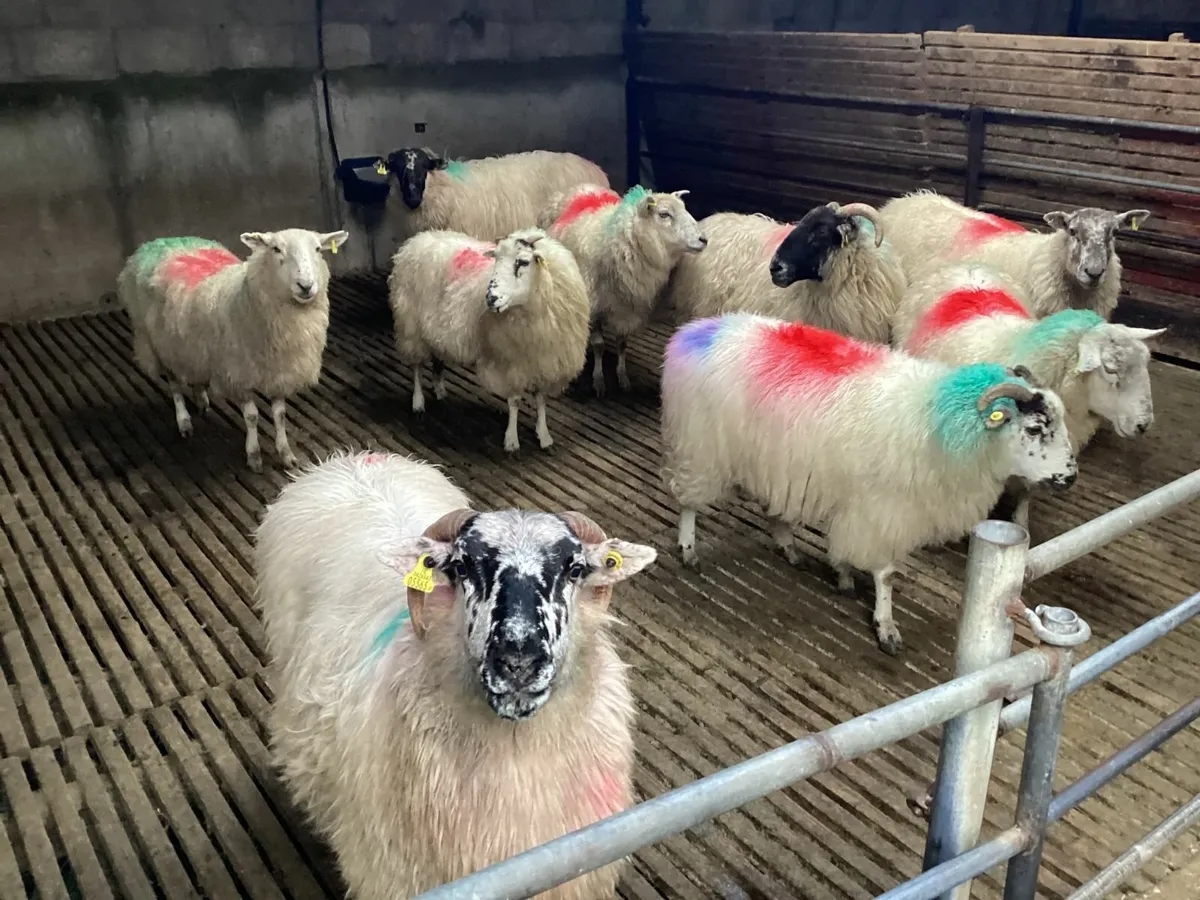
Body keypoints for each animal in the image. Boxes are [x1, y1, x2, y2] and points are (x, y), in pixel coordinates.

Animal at [117, 227, 349, 472]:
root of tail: (164, 240)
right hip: (162, 345)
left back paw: (201, 400)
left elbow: (280, 415)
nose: (305, 286)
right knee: (174, 386)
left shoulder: (279, 372)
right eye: (276, 249)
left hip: (192, 347)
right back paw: (184, 421)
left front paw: (286, 453)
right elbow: (252, 417)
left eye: (318, 249)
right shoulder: (238, 374)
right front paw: (254, 455)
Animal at [387, 226, 591, 453]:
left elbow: (540, 399)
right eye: (496, 260)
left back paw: (439, 389)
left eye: (523, 262)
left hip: (434, 332)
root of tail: (418, 239)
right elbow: (515, 401)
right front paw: (511, 440)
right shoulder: (509, 362)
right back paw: (418, 402)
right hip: (411, 327)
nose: (491, 298)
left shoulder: (544, 360)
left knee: (437, 359)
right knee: (416, 367)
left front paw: (544, 435)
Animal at [539, 184, 707, 397]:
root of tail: (582, 187)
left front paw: (623, 377)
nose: (703, 239)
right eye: (664, 214)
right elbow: (599, 346)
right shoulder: (595, 307)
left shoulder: (627, 309)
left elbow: (622, 344)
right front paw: (599, 380)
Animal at [660, 314, 1078, 655]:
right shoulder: (883, 509)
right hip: (701, 447)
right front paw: (886, 626)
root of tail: (694, 331)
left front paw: (842, 574)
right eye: (1036, 428)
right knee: (688, 501)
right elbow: (886, 574)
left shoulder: (862, 506)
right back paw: (689, 549)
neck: (944, 424)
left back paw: (788, 546)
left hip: (770, 457)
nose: (1071, 477)